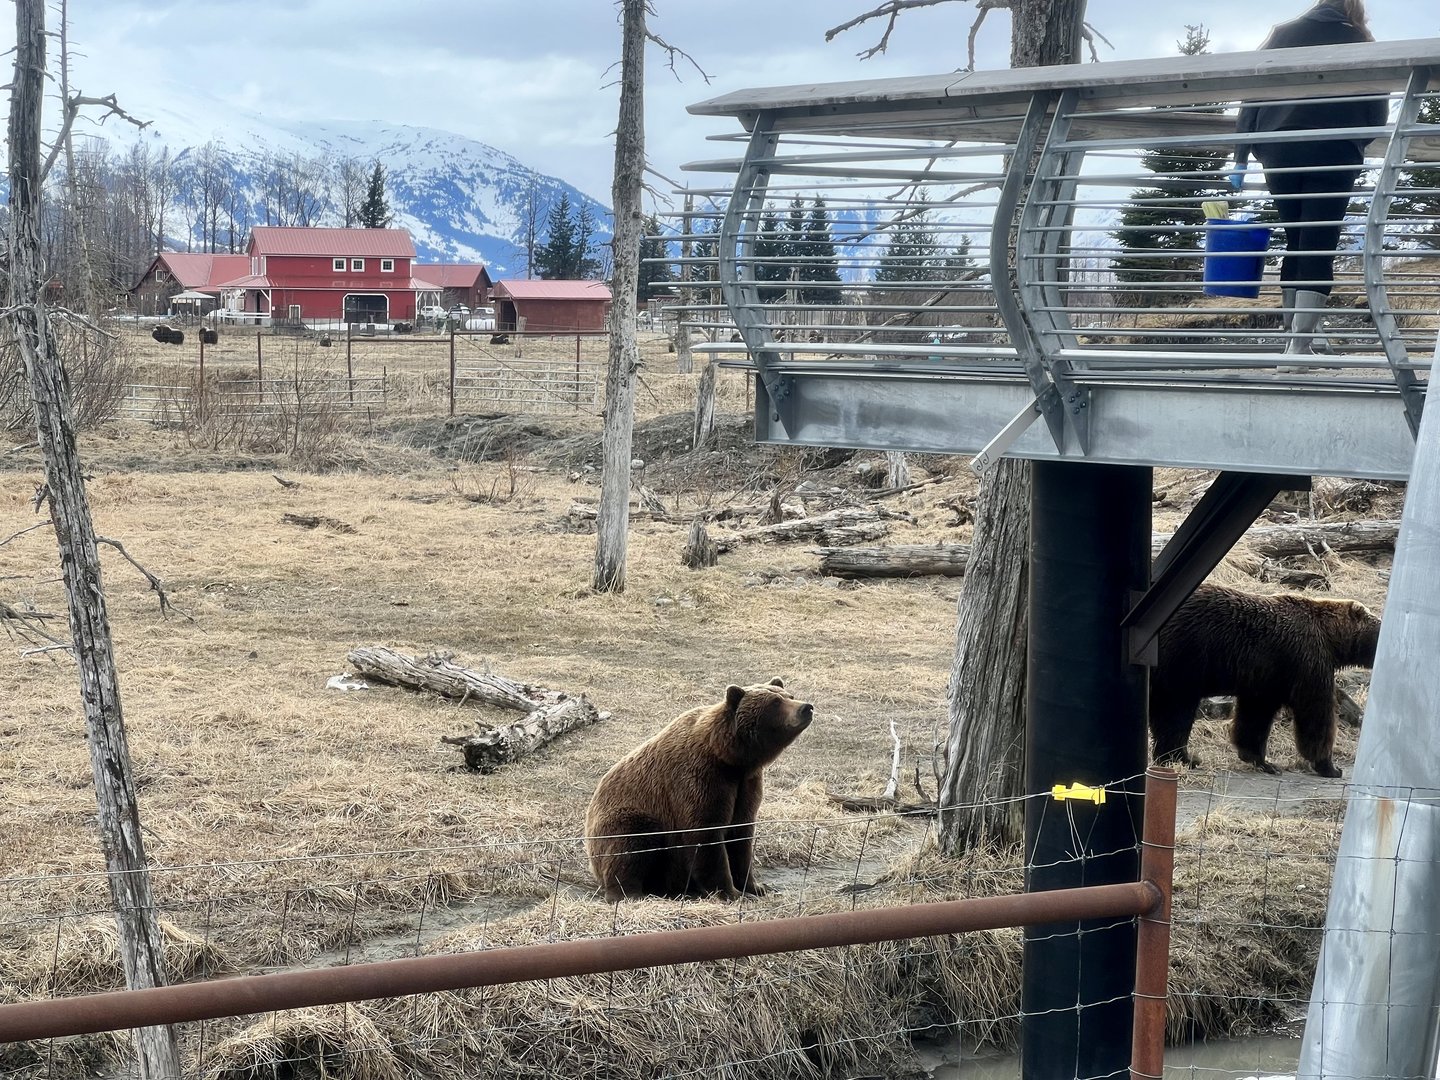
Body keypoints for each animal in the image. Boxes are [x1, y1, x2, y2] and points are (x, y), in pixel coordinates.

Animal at [585, 678, 814, 902]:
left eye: (789, 695)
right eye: (775, 702)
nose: (806, 707)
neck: (731, 759)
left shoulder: (746, 785)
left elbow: (741, 837)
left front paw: (756, 887)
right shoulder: (700, 778)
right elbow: (706, 834)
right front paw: (730, 892)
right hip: (629, 816)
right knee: (632, 841)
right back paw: (630, 893)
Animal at [1149, 583, 1381, 778]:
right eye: (1380, 626)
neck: (1332, 639)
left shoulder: (1267, 681)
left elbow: (1255, 717)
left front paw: (1263, 761)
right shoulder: (1307, 662)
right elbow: (1316, 713)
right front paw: (1330, 767)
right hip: (1186, 654)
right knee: (1176, 711)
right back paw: (1185, 758)